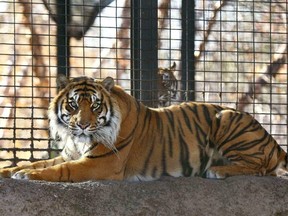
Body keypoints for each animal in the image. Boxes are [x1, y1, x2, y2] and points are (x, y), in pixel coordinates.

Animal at [0, 75, 288, 181]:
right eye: (72, 105)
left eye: (94, 105)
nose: (81, 125)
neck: (78, 141)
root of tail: (273, 142)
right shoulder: (70, 153)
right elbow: (40, 162)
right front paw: (11, 169)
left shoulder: (101, 163)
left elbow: (61, 170)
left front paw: (27, 176)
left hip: (226, 117)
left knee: (262, 168)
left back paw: (217, 170)